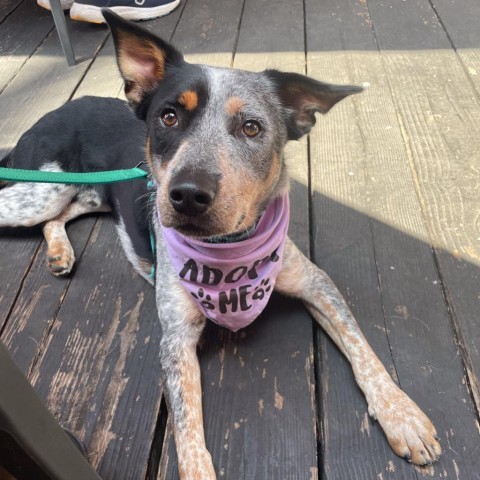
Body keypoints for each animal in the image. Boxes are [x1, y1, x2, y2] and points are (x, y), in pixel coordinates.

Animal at [0, 11, 440, 480]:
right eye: (169, 117)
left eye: (251, 127)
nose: (187, 194)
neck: (229, 250)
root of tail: (51, 112)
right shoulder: (176, 338)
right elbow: (187, 429)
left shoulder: (316, 283)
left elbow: (363, 349)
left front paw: (403, 416)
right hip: (42, 189)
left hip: (84, 193)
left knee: (60, 215)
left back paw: (60, 253)